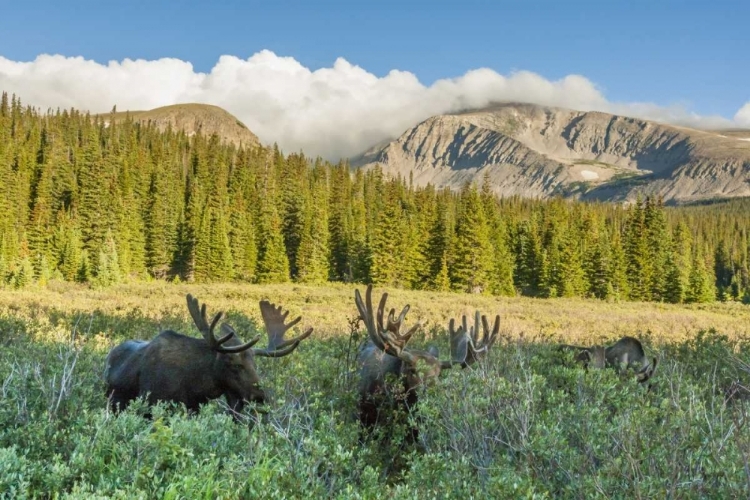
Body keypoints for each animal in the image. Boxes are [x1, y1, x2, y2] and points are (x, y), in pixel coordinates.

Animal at [104, 294, 312, 416]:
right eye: (234, 364)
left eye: (255, 364)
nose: (260, 396)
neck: (196, 384)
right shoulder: (153, 404)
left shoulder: (194, 407)